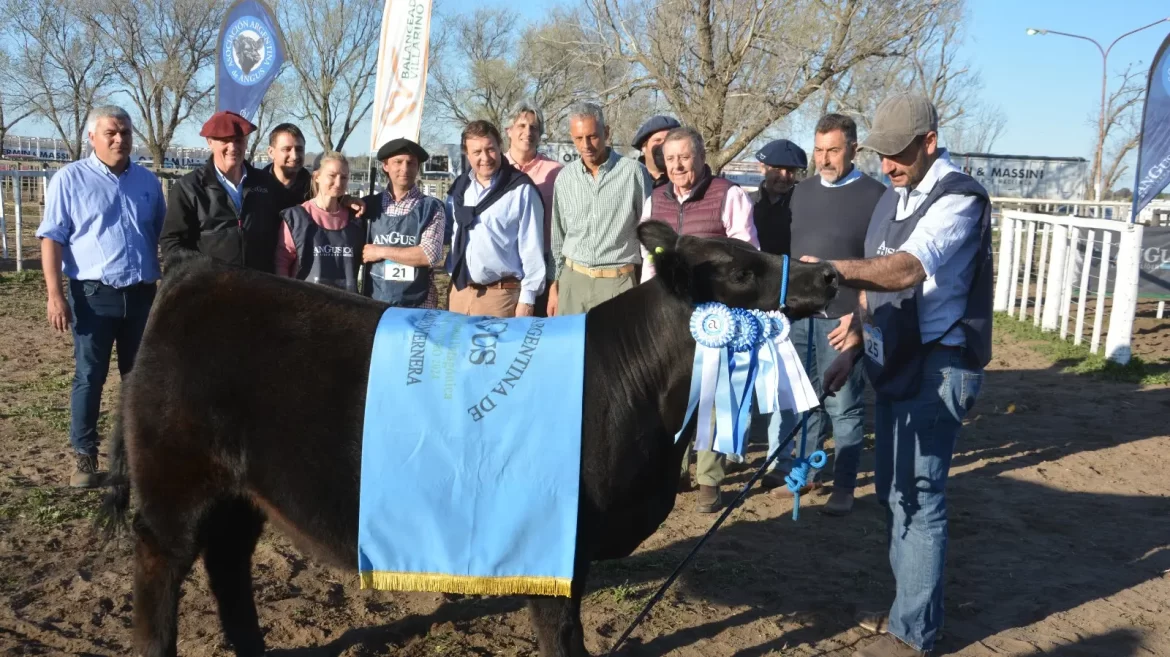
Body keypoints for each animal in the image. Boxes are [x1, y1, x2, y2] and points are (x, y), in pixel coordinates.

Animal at [95, 220, 837, 654]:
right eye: (739, 271)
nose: (828, 273)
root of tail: (198, 275)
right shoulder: (556, 547)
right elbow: (562, 637)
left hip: (242, 491)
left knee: (229, 566)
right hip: (175, 483)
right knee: (162, 571)